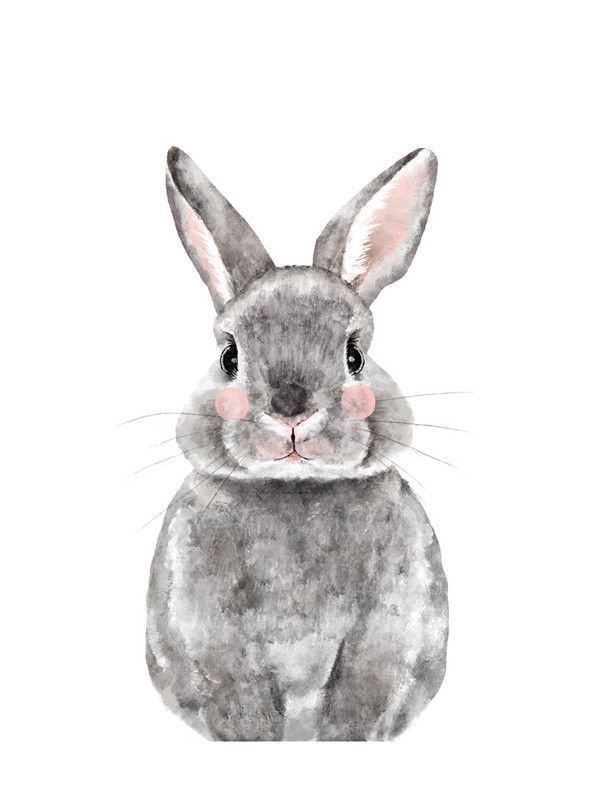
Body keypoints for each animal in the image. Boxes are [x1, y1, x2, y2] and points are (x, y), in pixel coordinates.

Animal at [146, 146, 448, 741]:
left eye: (354, 355)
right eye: (229, 357)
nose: (291, 412)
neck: (295, 487)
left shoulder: (394, 630)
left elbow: (359, 703)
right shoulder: (206, 636)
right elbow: (240, 703)